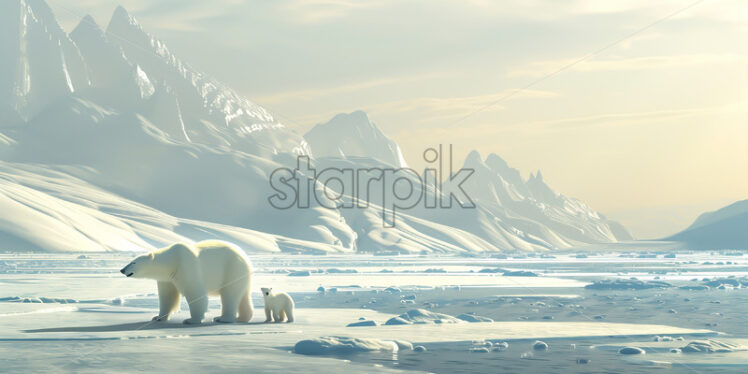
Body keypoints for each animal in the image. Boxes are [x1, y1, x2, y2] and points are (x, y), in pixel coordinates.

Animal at [120, 240, 254, 324]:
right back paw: (242, 318)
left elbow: (195, 292)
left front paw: (191, 320)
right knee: (243, 296)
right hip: (241, 275)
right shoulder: (166, 279)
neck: (171, 261)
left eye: (133, 262)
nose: (122, 270)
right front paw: (158, 317)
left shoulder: (185, 265)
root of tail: (246, 258)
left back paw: (222, 318)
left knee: (230, 295)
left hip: (231, 269)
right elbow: (167, 297)